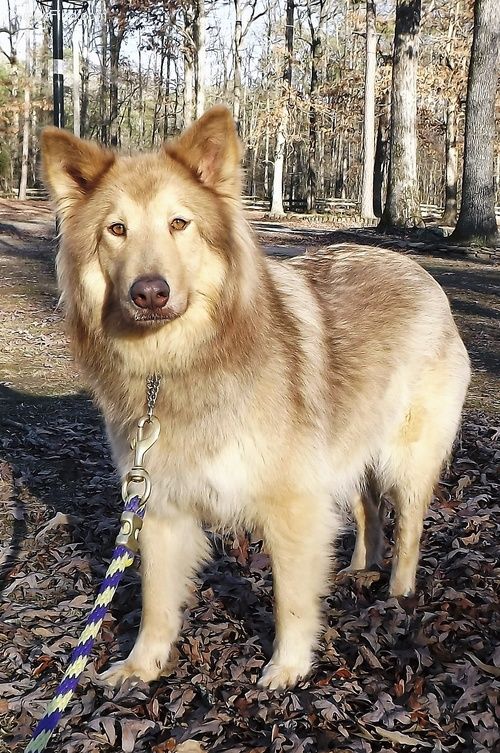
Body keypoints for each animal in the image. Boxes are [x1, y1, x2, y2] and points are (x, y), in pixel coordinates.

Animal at [41, 104, 470, 688]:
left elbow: (290, 600)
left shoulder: (292, 505)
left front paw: (287, 668)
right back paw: (359, 569)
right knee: (366, 510)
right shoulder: (160, 506)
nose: (149, 293)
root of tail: (421, 272)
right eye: (116, 230)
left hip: (405, 459)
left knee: (408, 529)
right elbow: (156, 601)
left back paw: (397, 596)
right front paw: (141, 666)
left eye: (180, 224)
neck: (176, 364)